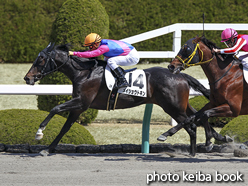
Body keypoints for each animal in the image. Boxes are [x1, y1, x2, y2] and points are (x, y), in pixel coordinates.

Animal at [23, 42, 211, 156]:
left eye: (41, 59)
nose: (27, 78)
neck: (83, 72)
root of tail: (181, 74)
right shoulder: (79, 107)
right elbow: (64, 128)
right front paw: (48, 149)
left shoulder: (81, 102)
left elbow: (54, 109)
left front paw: (39, 133)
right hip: (182, 105)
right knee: (197, 117)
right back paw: (198, 148)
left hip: (173, 107)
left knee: (191, 125)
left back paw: (190, 151)